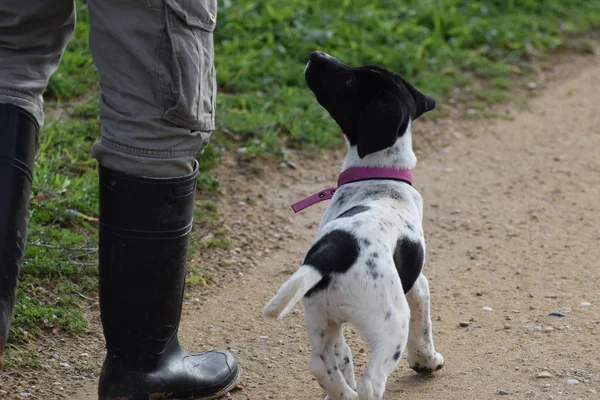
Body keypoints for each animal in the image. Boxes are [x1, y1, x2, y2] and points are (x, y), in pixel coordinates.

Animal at [264, 51, 446, 398]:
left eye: (350, 81)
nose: (316, 55)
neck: (380, 174)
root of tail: (331, 255)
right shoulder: (418, 285)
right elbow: (424, 326)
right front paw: (427, 361)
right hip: (391, 325)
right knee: (371, 381)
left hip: (322, 319)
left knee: (324, 364)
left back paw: (341, 393)